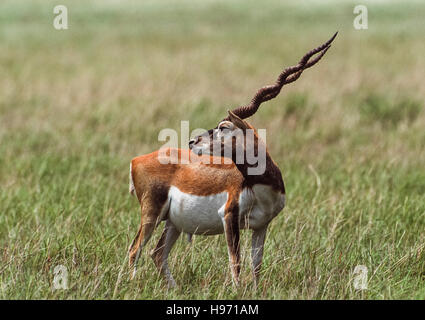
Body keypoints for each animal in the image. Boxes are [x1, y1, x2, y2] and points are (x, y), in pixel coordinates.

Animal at [127, 31, 336, 288]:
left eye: (224, 127)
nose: (192, 141)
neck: (260, 186)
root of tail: (136, 160)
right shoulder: (229, 216)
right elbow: (235, 261)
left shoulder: (262, 225)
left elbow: (256, 265)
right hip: (151, 213)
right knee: (135, 250)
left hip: (173, 222)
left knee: (156, 254)